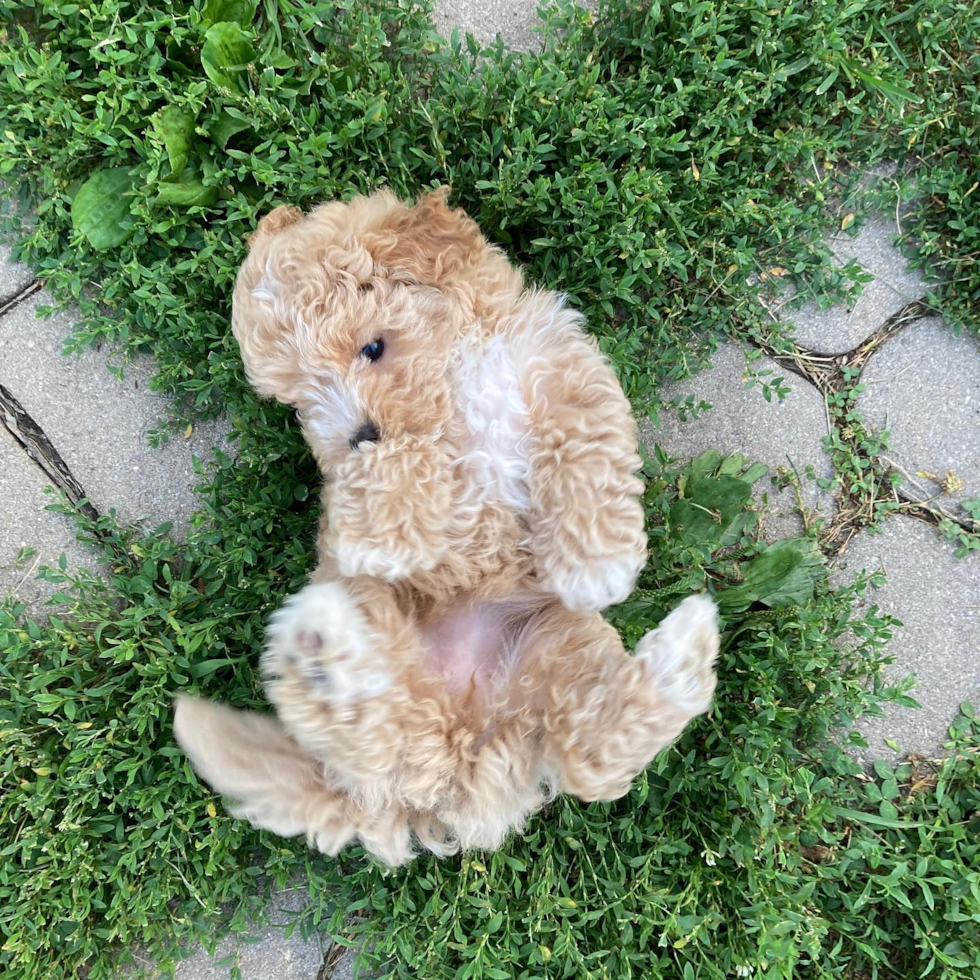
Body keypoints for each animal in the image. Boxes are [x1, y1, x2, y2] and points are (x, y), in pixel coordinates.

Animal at [174, 189, 720, 864]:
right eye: (299, 398)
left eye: (373, 348)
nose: (355, 435)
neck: (459, 365)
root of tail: (452, 767)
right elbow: (409, 463)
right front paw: (375, 528)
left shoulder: (557, 367)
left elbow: (585, 446)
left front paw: (599, 565)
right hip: (380, 624)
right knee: (381, 738)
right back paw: (323, 659)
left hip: (555, 651)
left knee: (588, 756)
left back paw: (682, 659)